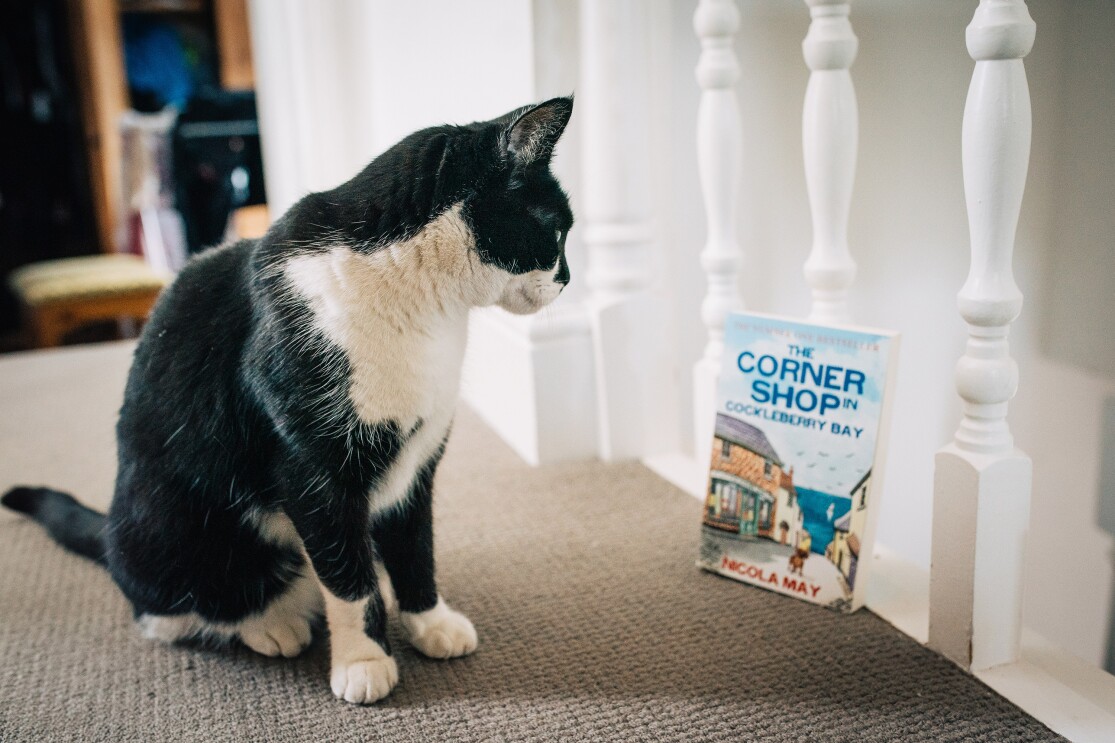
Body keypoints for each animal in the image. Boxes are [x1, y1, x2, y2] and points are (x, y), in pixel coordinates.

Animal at [0, 97, 575, 700]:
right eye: (557, 231)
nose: (567, 279)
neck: (426, 307)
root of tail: (113, 527)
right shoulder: (313, 470)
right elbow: (348, 580)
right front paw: (363, 660)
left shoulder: (418, 460)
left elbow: (416, 549)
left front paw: (429, 622)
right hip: (164, 531)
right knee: (168, 610)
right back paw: (270, 625)